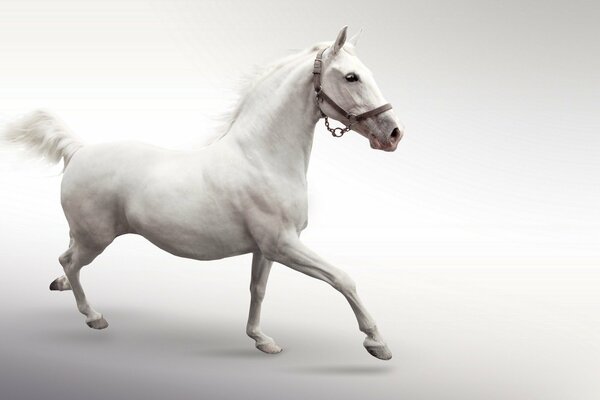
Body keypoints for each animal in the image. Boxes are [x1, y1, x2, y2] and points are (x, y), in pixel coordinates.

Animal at [1, 26, 404, 360]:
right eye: (351, 76)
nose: (393, 134)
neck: (263, 157)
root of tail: (78, 151)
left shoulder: (266, 249)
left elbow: (257, 290)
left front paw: (261, 339)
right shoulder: (284, 244)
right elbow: (342, 278)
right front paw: (377, 343)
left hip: (84, 233)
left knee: (66, 259)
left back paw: (61, 287)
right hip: (95, 238)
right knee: (70, 261)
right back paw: (93, 316)